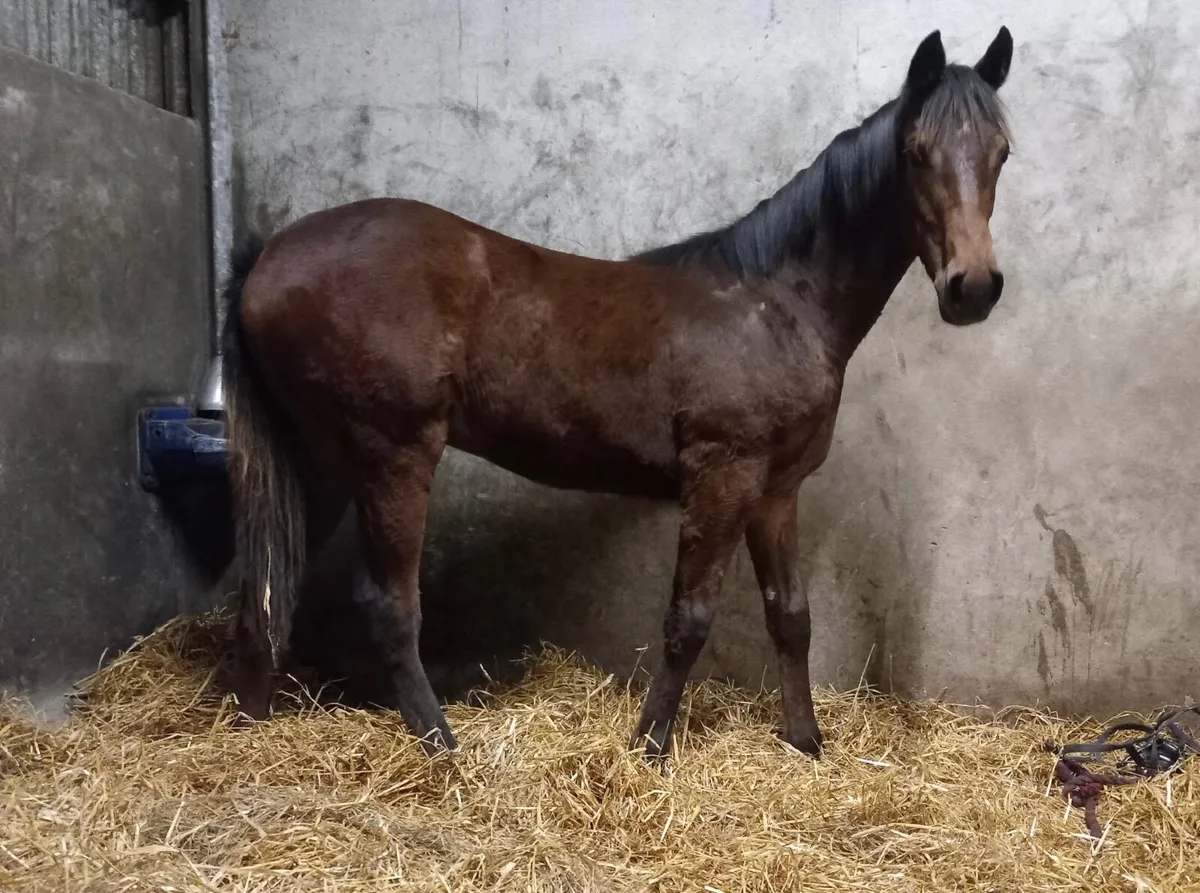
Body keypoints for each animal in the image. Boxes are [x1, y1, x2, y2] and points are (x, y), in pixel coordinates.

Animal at [221, 26, 1015, 761]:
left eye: (1002, 151)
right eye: (914, 150)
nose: (972, 288)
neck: (776, 301)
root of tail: (268, 257)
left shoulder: (775, 491)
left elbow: (790, 616)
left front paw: (806, 742)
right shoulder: (722, 478)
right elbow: (689, 619)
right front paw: (650, 746)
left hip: (324, 462)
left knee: (267, 586)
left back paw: (250, 728)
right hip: (391, 454)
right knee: (387, 604)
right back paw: (443, 745)